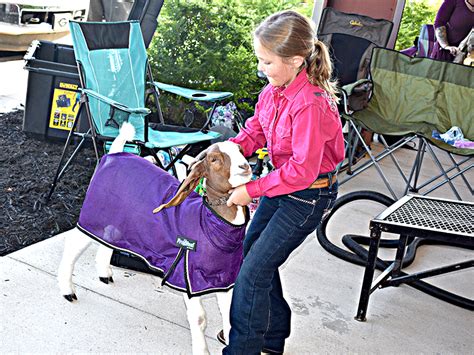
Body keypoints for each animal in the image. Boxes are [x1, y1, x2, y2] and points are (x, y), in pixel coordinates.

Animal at [56, 123, 252, 355]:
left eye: (240, 150)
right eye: (214, 159)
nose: (244, 166)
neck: (210, 223)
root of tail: (115, 153)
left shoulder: (222, 278)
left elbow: (229, 316)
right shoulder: (186, 275)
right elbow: (199, 318)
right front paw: (202, 350)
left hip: (115, 221)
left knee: (107, 241)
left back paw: (104, 274)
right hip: (93, 215)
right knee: (72, 246)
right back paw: (67, 290)